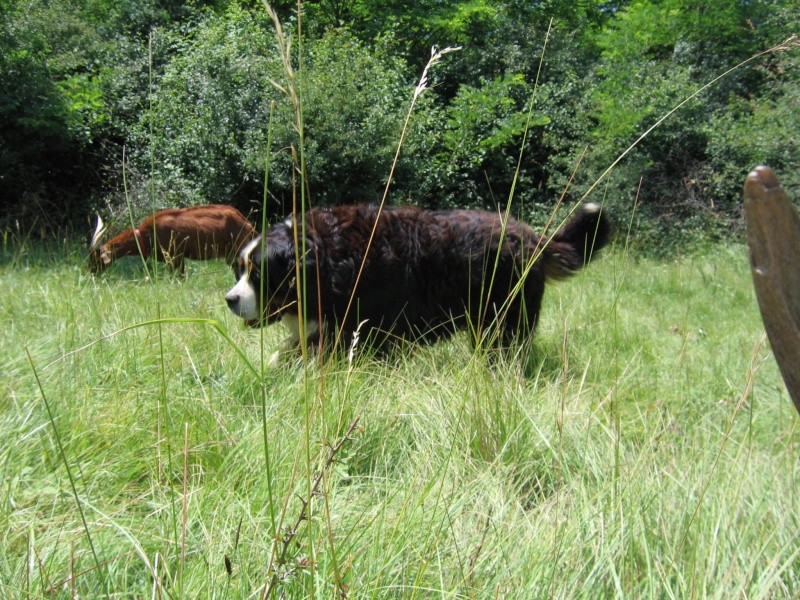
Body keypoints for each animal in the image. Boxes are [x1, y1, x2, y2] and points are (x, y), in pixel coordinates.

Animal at [222, 204, 608, 358]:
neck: (326, 259)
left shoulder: (360, 326)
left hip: (503, 317)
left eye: (259, 275)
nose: (230, 299)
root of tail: (531, 236)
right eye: (239, 271)